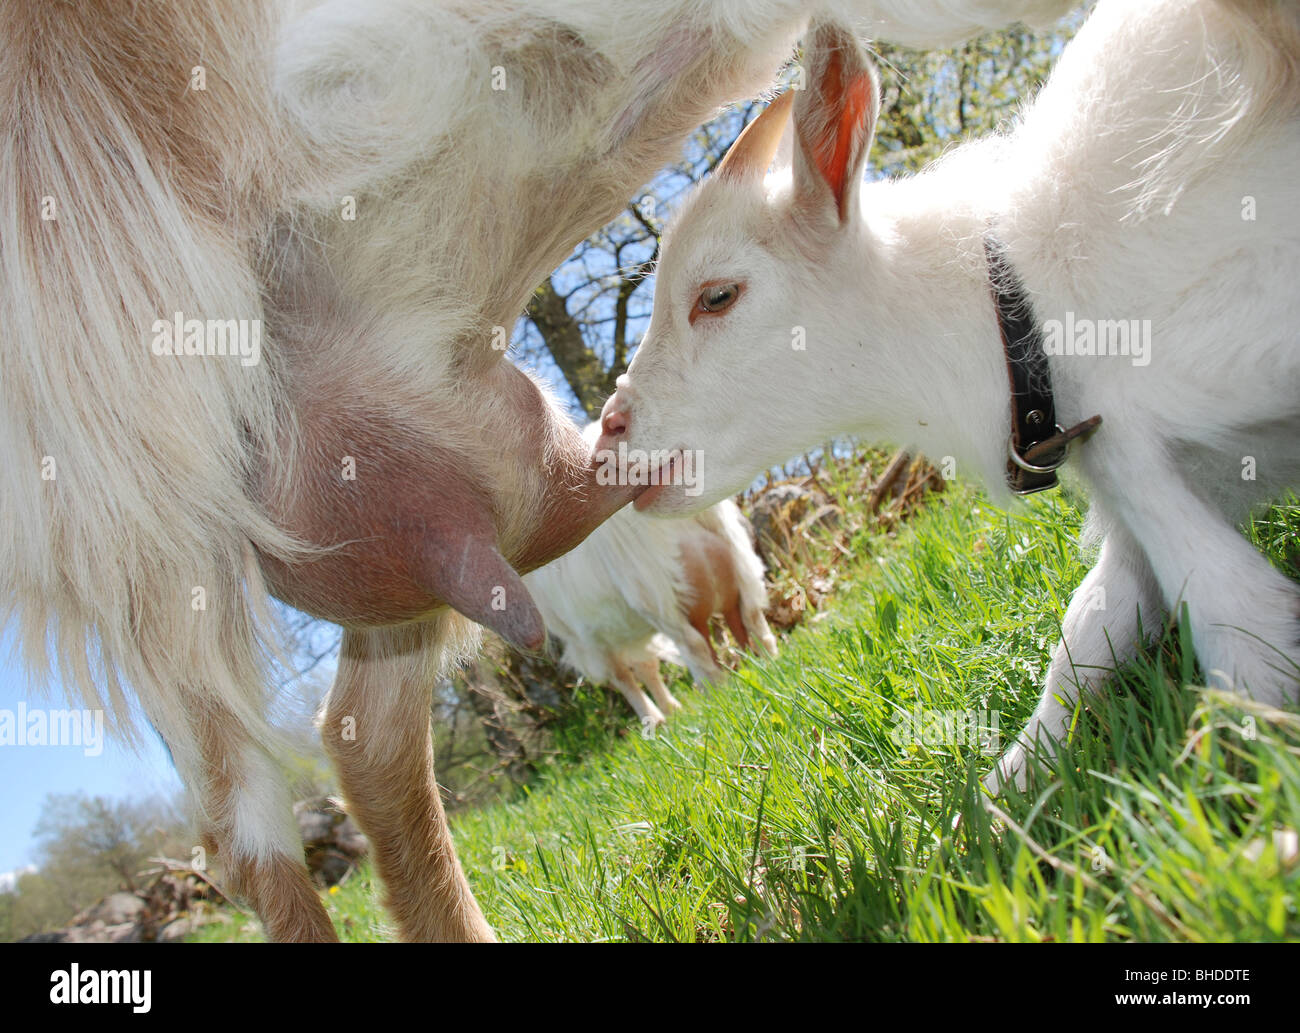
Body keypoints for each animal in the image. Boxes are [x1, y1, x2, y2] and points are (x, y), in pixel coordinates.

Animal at [526, 428, 776, 728]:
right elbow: (644, 665)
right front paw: (670, 711)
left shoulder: (588, 637)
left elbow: (625, 674)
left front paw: (657, 718)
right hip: (737, 558)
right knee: (751, 618)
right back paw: (768, 665)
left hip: (651, 590)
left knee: (691, 645)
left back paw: (712, 693)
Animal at [597, 1, 1300, 793]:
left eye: (717, 295)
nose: (610, 430)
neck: (1024, 307)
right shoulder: (1163, 467)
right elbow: (1094, 622)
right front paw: (1003, 793)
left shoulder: (1142, 448)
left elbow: (1241, 625)